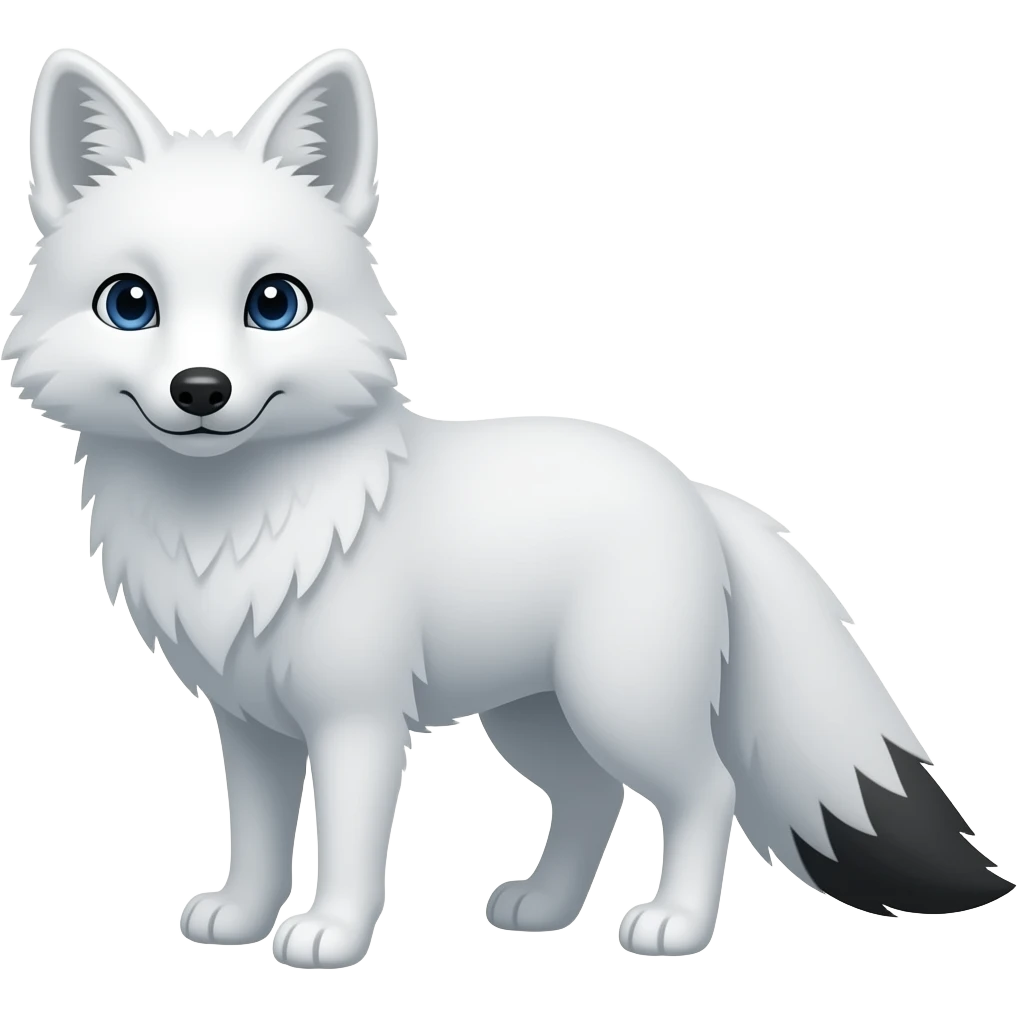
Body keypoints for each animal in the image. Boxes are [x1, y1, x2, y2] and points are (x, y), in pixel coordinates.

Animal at [6, 45, 1012, 970]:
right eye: (131, 304)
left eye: (274, 304)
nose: (201, 389)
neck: (235, 524)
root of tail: (696, 491)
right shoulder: (251, 725)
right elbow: (254, 839)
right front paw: (239, 919)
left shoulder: (355, 720)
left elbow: (348, 844)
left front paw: (330, 934)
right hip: (535, 718)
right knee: (592, 798)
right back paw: (544, 908)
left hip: (620, 704)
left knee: (706, 791)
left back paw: (674, 926)